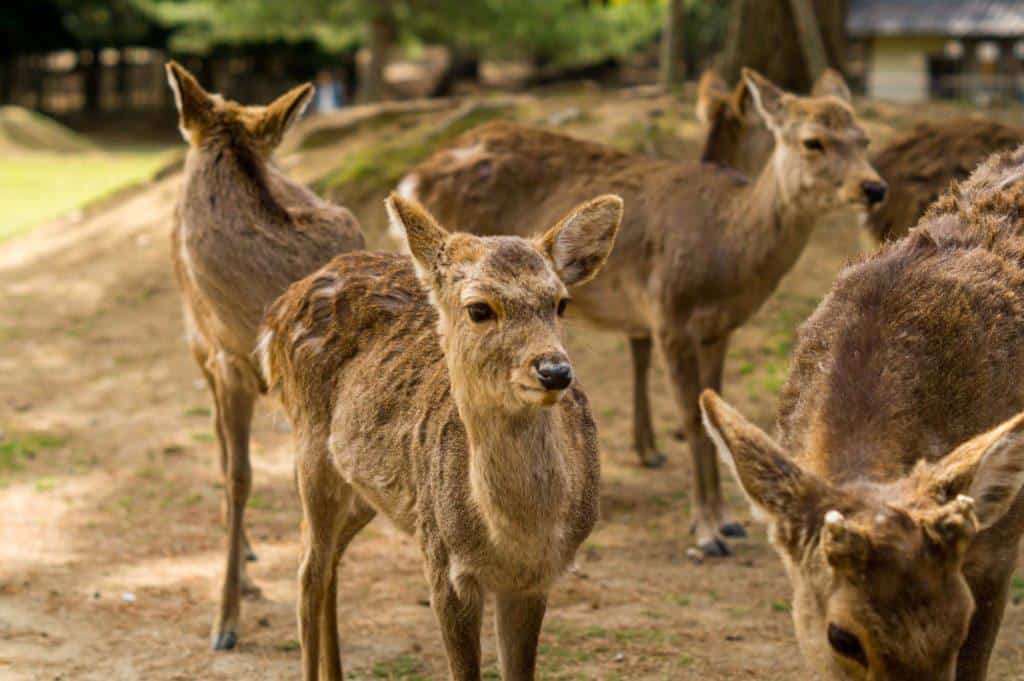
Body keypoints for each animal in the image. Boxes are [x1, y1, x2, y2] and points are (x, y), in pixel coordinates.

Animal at [260, 192, 618, 679]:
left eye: (560, 303)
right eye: (479, 308)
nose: (555, 371)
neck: (515, 540)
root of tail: (279, 308)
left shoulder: (535, 580)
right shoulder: (444, 565)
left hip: (372, 489)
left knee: (327, 555)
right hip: (310, 445)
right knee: (308, 571)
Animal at [399, 66, 888, 557]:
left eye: (863, 138)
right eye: (813, 141)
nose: (874, 187)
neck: (730, 253)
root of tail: (413, 178)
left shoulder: (720, 328)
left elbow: (712, 407)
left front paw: (726, 520)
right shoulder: (669, 313)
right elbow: (689, 417)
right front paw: (707, 531)